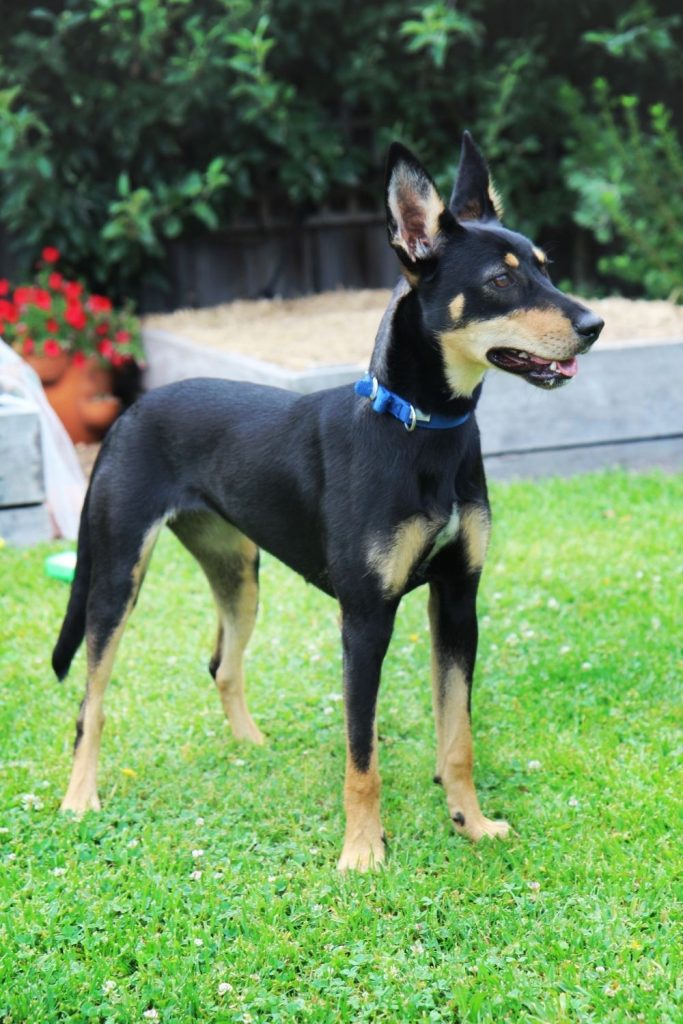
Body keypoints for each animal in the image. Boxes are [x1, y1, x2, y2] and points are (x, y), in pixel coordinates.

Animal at [53, 132, 602, 872]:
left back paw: (250, 747)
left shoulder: (458, 598)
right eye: (499, 280)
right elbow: (361, 753)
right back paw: (80, 796)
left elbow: (456, 733)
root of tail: (130, 413)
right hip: (117, 577)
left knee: (222, 663)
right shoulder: (365, 618)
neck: (419, 429)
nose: (595, 324)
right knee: (93, 701)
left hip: (238, 571)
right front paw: (363, 851)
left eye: (545, 267)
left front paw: (470, 821)